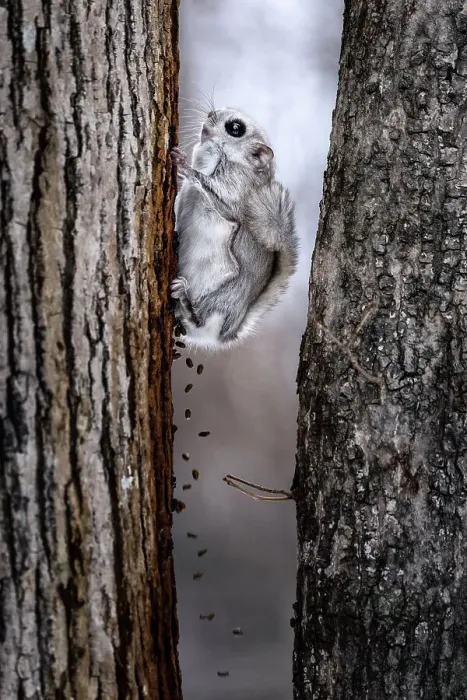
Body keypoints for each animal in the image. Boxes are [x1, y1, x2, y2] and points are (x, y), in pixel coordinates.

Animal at [171, 107, 298, 349]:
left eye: (235, 128)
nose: (210, 113)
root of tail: (223, 336)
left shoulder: (236, 195)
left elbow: (217, 196)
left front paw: (184, 166)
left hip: (223, 296)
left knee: (202, 318)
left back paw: (186, 303)